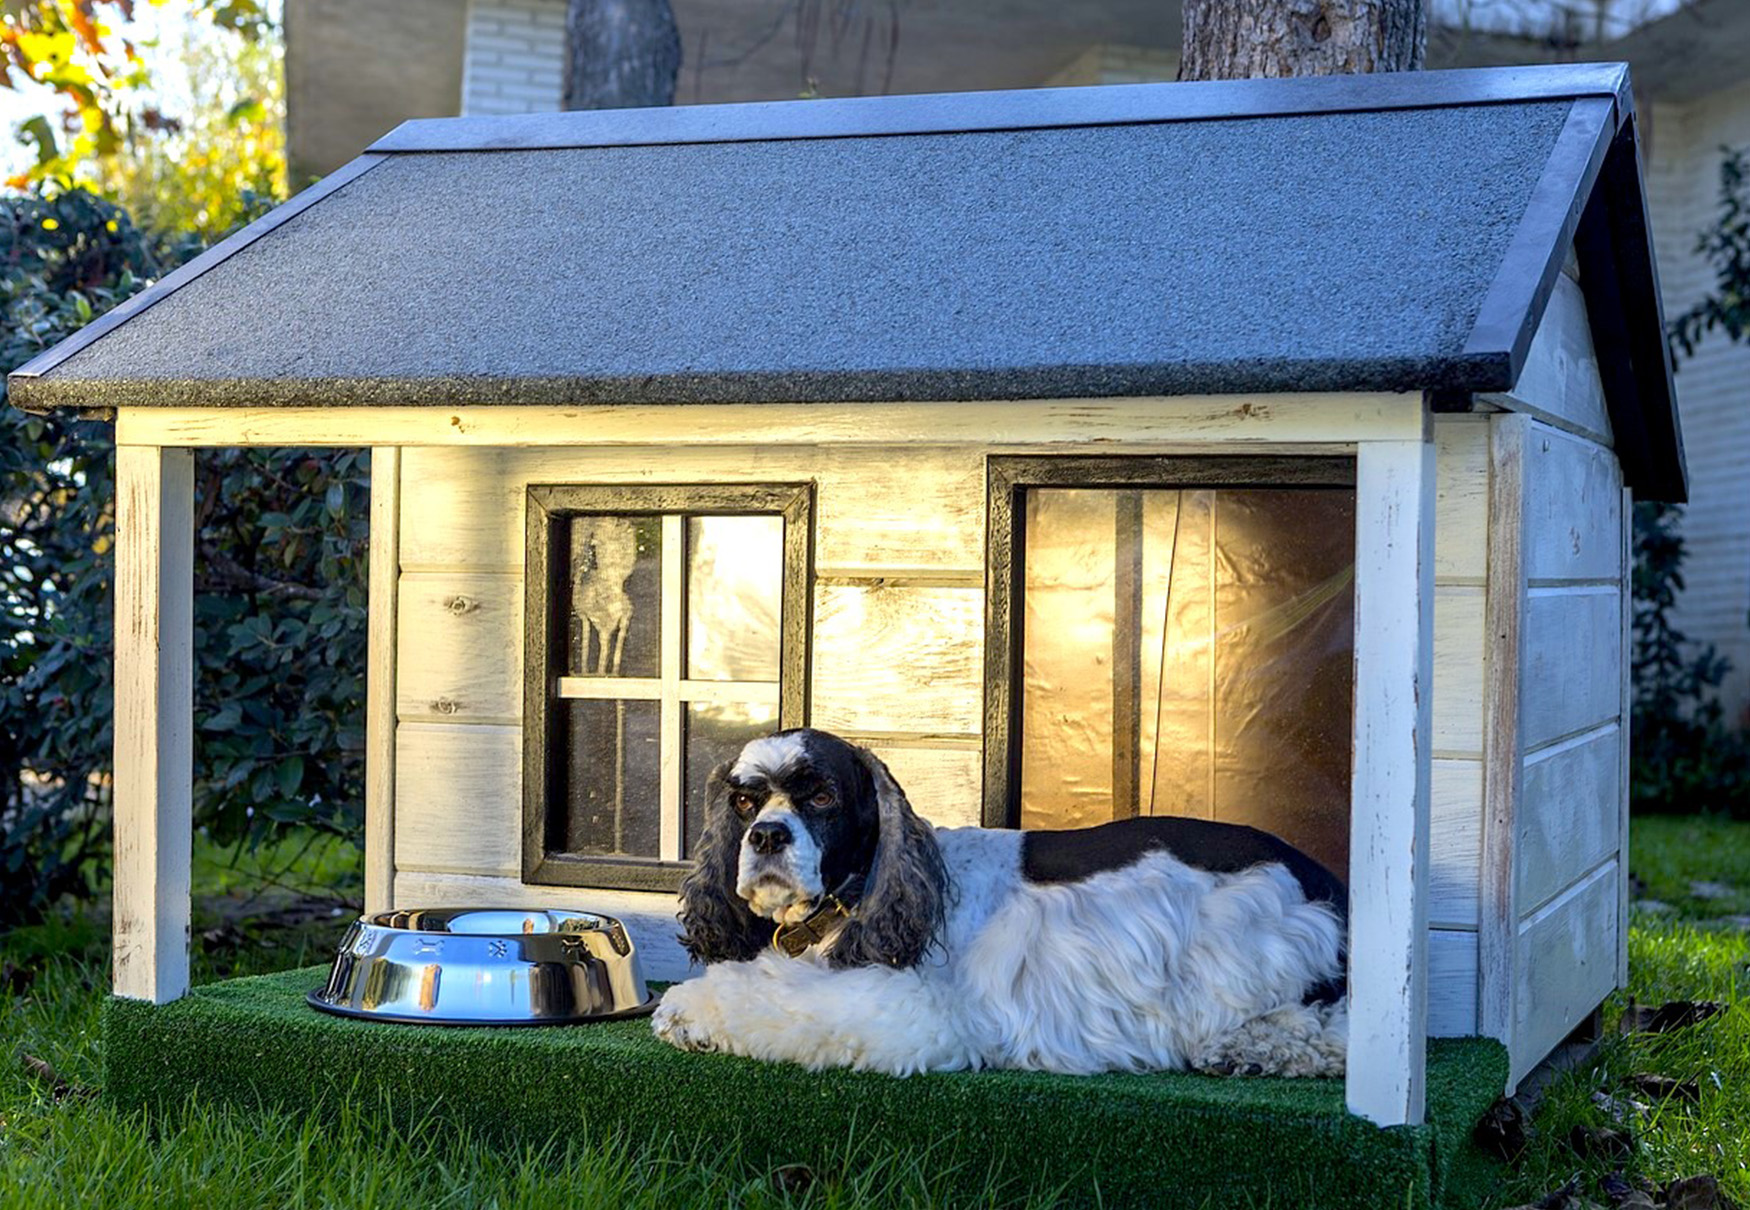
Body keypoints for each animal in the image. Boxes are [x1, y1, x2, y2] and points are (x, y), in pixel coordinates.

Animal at [651, 728, 1344, 1078]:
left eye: (821, 796)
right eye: (744, 801)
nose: (766, 835)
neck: (866, 892)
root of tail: (1325, 878)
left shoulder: (913, 1008)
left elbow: (774, 999)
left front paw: (687, 1011)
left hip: (1250, 944)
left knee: (1324, 1028)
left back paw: (1251, 1052)